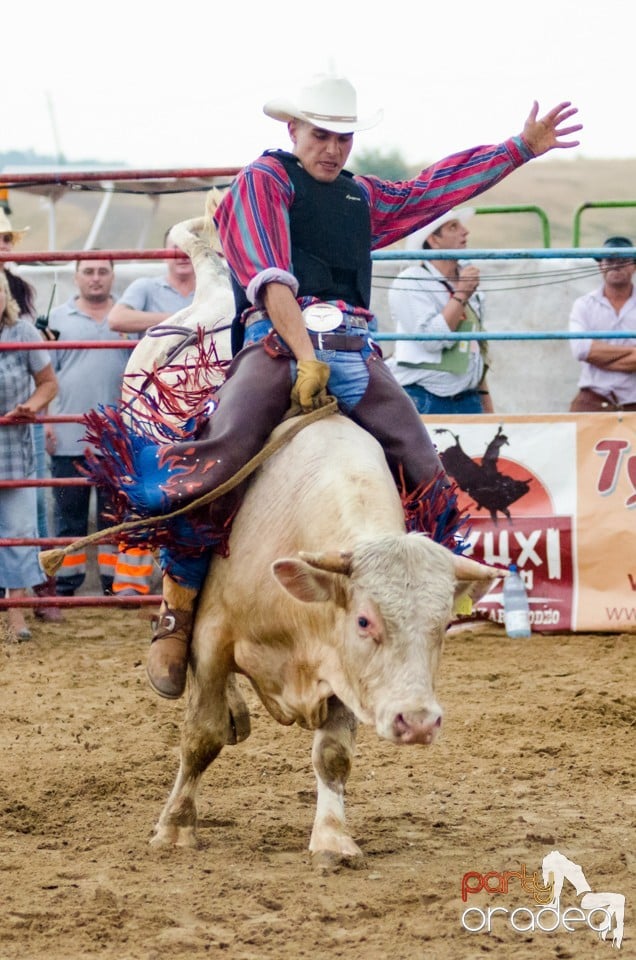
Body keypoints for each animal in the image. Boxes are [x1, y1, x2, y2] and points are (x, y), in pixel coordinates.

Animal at [154, 408, 502, 868]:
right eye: (363, 621)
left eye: (443, 623)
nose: (418, 723)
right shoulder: (214, 639)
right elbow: (201, 736)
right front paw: (176, 825)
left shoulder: (342, 672)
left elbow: (333, 755)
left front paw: (333, 838)